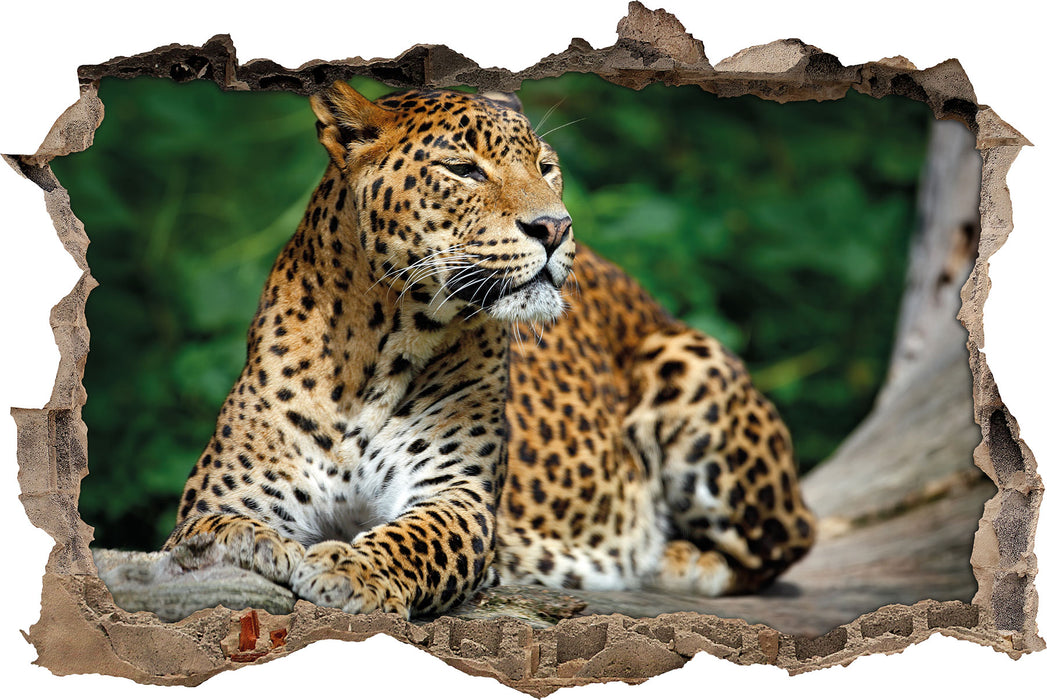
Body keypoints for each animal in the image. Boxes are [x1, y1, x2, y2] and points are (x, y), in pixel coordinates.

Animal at [164, 81, 815, 618]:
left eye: (547, 168)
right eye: (463, 169)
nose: (555, 227)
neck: (376, 348)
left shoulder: (458, 494)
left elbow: (413, 538)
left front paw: (351, 569)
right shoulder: (227, 492)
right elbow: (211, 528)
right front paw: (247, 543)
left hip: (690, 360)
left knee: (788, 539)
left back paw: (676, 558)